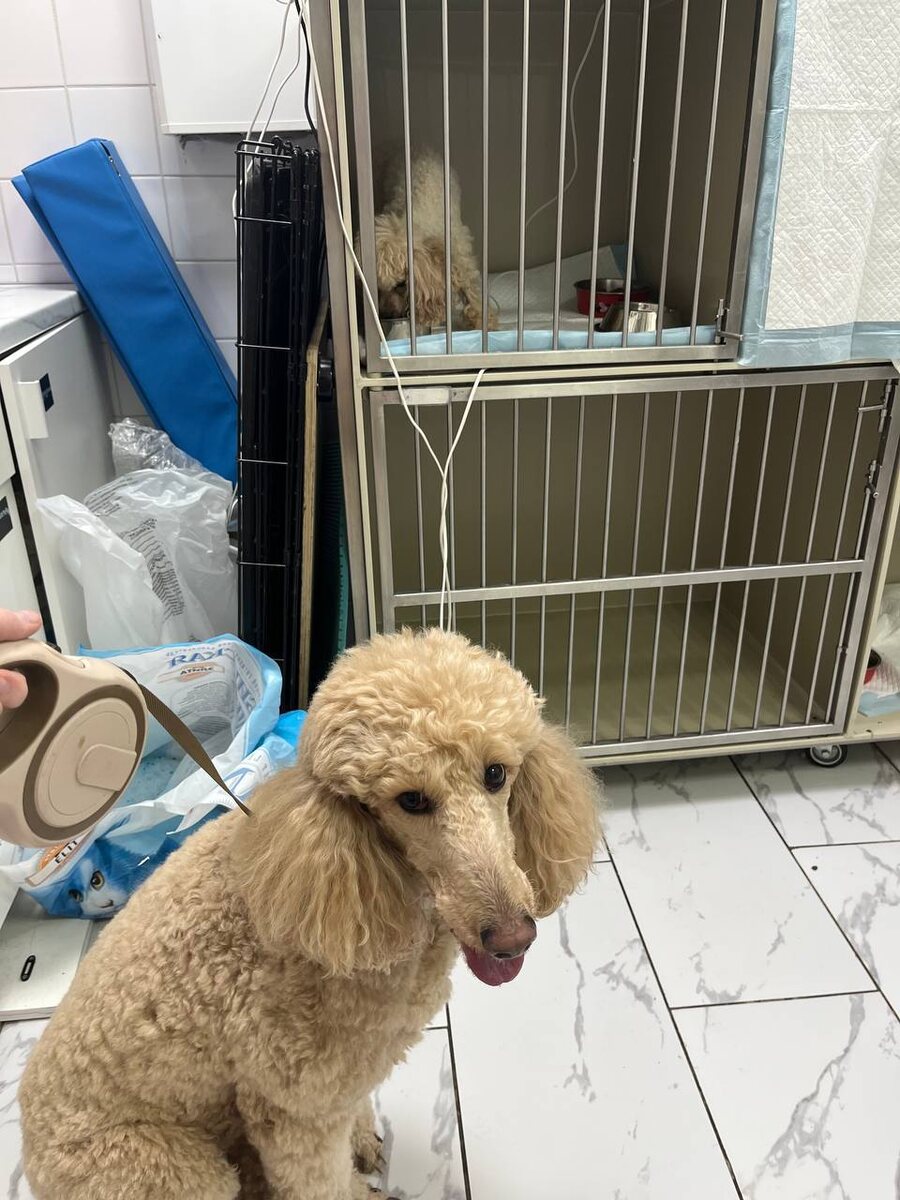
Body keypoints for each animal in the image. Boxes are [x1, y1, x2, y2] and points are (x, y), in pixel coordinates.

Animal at [20, 629, 600, 1200]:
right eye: (411, 800)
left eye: (496, 774)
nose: (513, 937)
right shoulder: (295, 1109)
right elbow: (321, 1180)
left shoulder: (341, 1079)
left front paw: (362, 1139)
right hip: (169, 1170)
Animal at [374, 151, 495, 333]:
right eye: (378, 288)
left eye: (401, 284)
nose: (387, 315)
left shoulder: (460, 255)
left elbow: (471, 292)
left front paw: (484, 324)